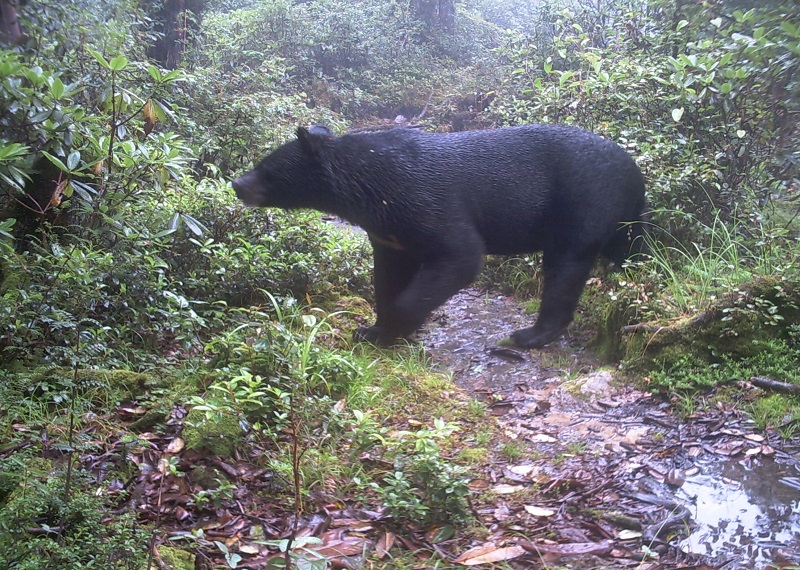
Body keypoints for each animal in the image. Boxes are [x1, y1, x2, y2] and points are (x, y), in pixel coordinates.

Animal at [230, 124, 644, 346]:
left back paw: (532, 334)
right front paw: (374, 330)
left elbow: (461, 255)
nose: (236, 183)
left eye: (267, 169)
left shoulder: (426, 200)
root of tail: (633, 167)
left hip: (582, 203)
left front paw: (397, 324)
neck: (369, 189)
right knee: (631, 249)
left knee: (565, 267)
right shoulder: (389, 232)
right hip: (623, 219)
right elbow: (388, 274)